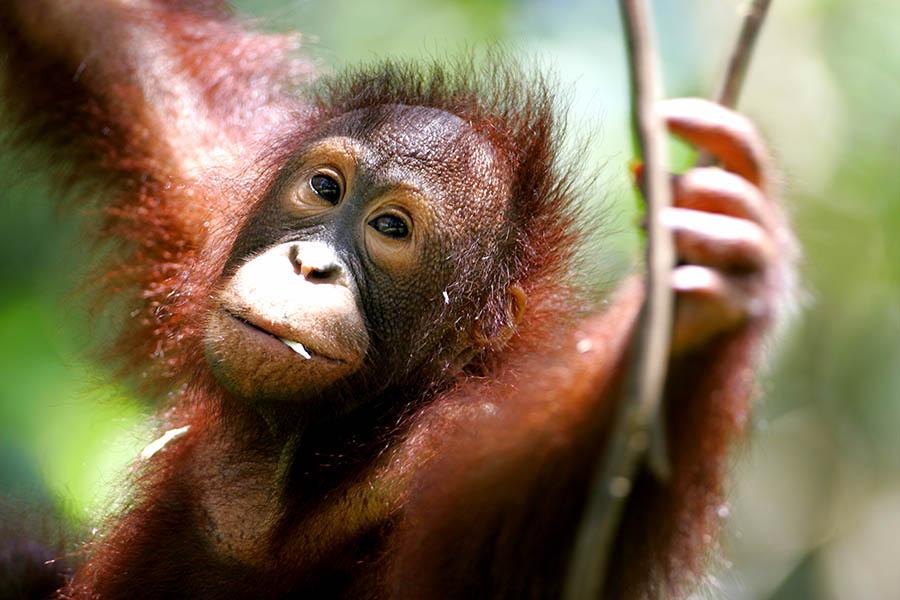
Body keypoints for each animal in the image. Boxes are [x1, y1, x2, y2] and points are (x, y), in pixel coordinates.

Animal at [0, 1, 795, 598]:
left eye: (391, 228)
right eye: (326, 188)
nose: (311, 264)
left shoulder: (451, 440)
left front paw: (708, 303)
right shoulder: (205, 183)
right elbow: (98, 36)